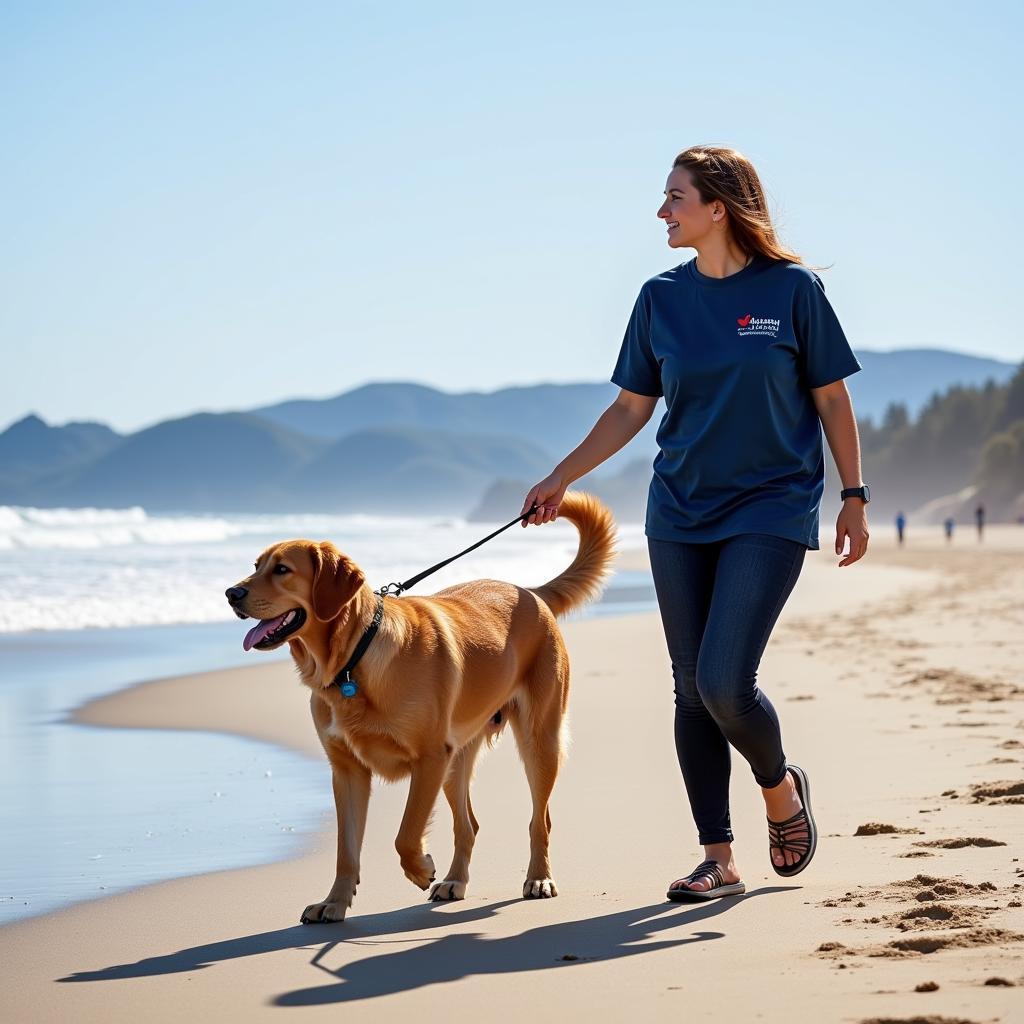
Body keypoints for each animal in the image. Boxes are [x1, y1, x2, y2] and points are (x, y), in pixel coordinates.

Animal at [228, 491, 610, 925]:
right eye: (255, 566)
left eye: (282, 569)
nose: (230, 594)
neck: (353, 659)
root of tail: (530, 592)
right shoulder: (348, 771)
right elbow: (346, 850)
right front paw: (335, 902)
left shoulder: (429, 758)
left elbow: (405, 834)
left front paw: (419, 869)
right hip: (457, 761)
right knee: (469, 825)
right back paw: (455, 880)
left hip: (538, 740)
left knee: (539, 819)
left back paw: (539, 878)